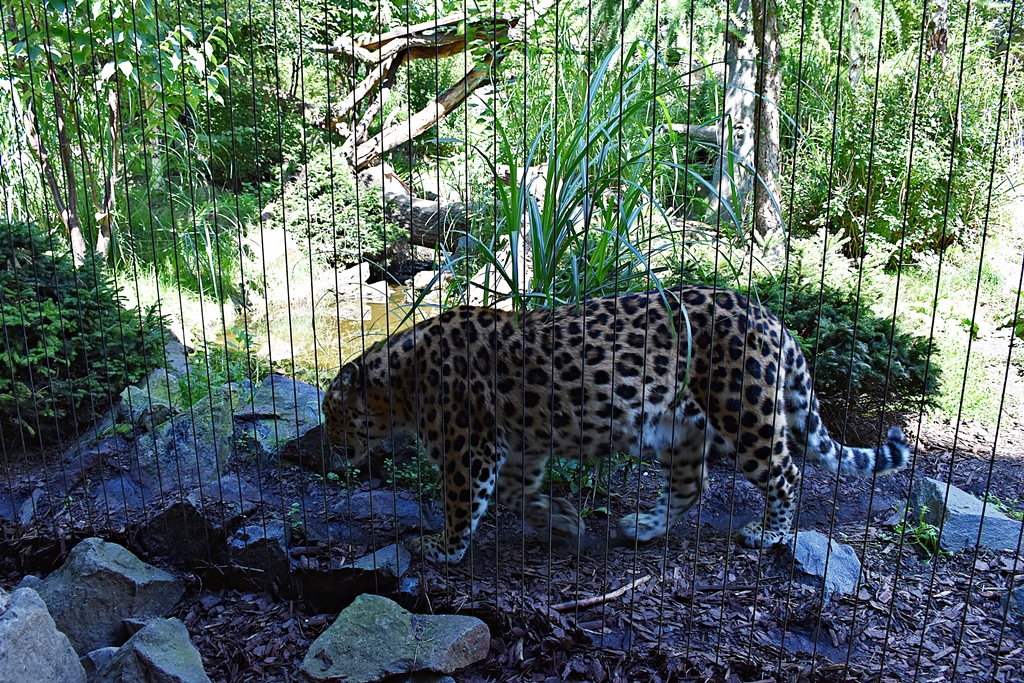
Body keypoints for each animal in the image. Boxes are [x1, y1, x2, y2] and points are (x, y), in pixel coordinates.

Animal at [322, 285, 911, 564]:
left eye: (331, 413)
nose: (326, 443)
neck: (401, 381)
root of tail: (771, 318)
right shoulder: (519, 446)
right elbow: (515, 494)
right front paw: (562, 521)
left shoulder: (471, 450)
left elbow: (462, 503)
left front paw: (441, 548)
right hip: (677, 427)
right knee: (692, 485)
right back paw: (642, 527)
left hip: (743, 414)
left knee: (786, 472)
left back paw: (769, 533)